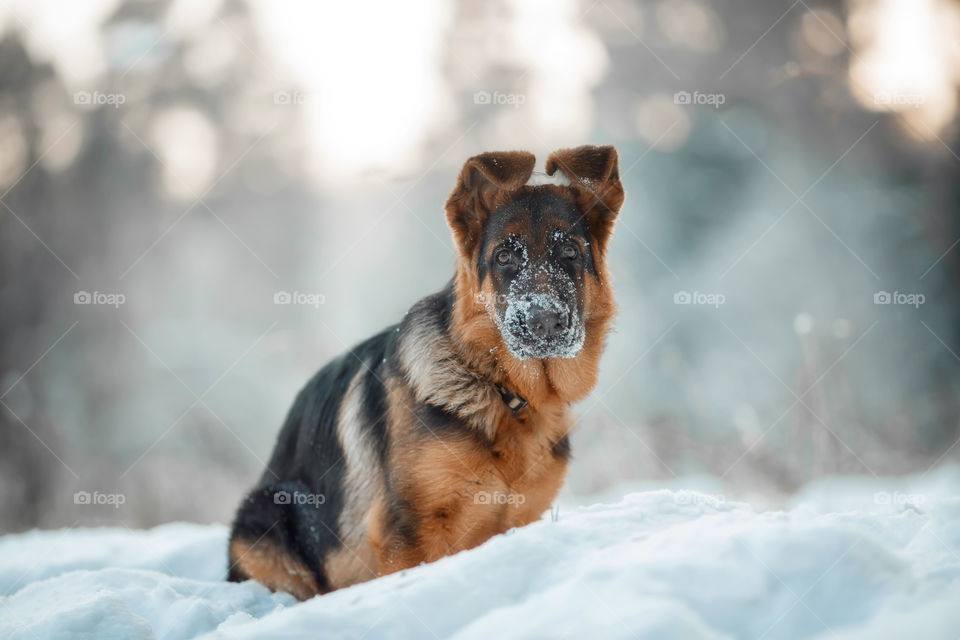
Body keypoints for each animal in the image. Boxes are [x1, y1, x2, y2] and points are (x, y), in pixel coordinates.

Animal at [229, 142, 628, 596]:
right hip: (268, 508)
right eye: (504, 256)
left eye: (570, 252)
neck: (499, 391)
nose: (543, 321)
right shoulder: (409, 538)